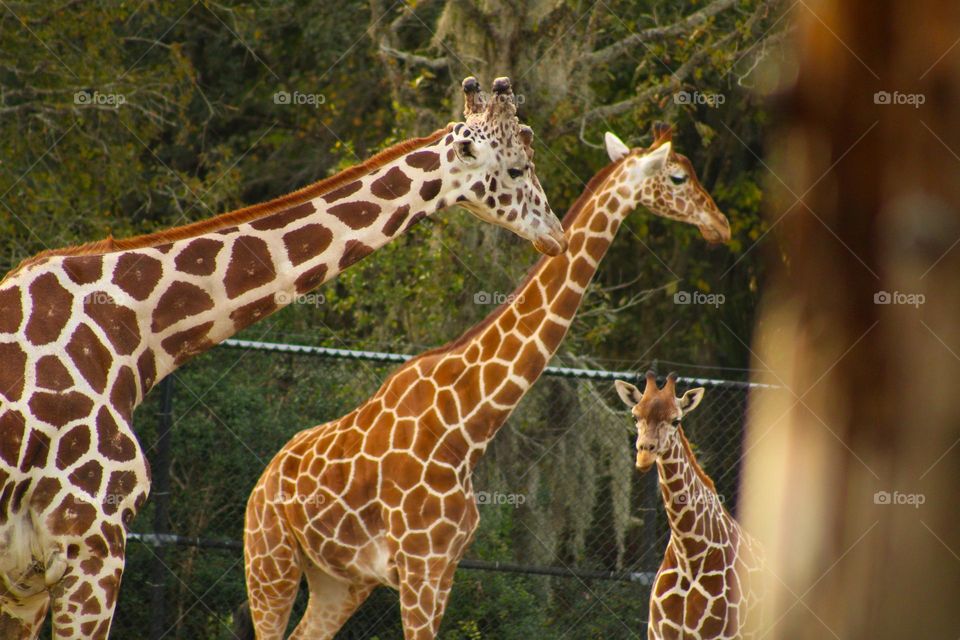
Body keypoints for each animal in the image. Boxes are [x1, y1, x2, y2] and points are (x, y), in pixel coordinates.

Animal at [241, 122, 732, 639]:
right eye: (678, 177)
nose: (720, 225)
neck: (465, 425)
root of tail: (262, 482)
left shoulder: (443, 569)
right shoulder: (420, 566)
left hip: (338, 580)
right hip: (270, 559)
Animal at [614, 372, 765, 639]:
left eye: (676, 420)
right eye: (635, 416)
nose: (644, 455)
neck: (689, 554)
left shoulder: (721, 635)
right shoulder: (658, 633)